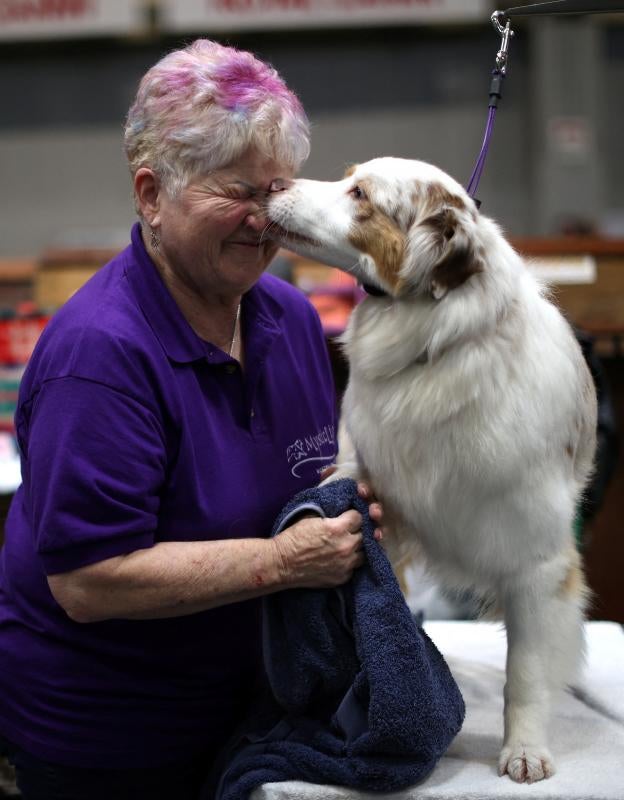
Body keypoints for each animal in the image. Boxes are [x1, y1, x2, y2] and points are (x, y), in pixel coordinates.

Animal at [266, 158, 596, 788]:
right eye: (349, 178)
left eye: (360, 194)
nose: (273, 182)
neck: (437, 348)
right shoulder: (375, 504)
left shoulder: (537, 560)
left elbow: (526, 671)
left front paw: (524, 749)